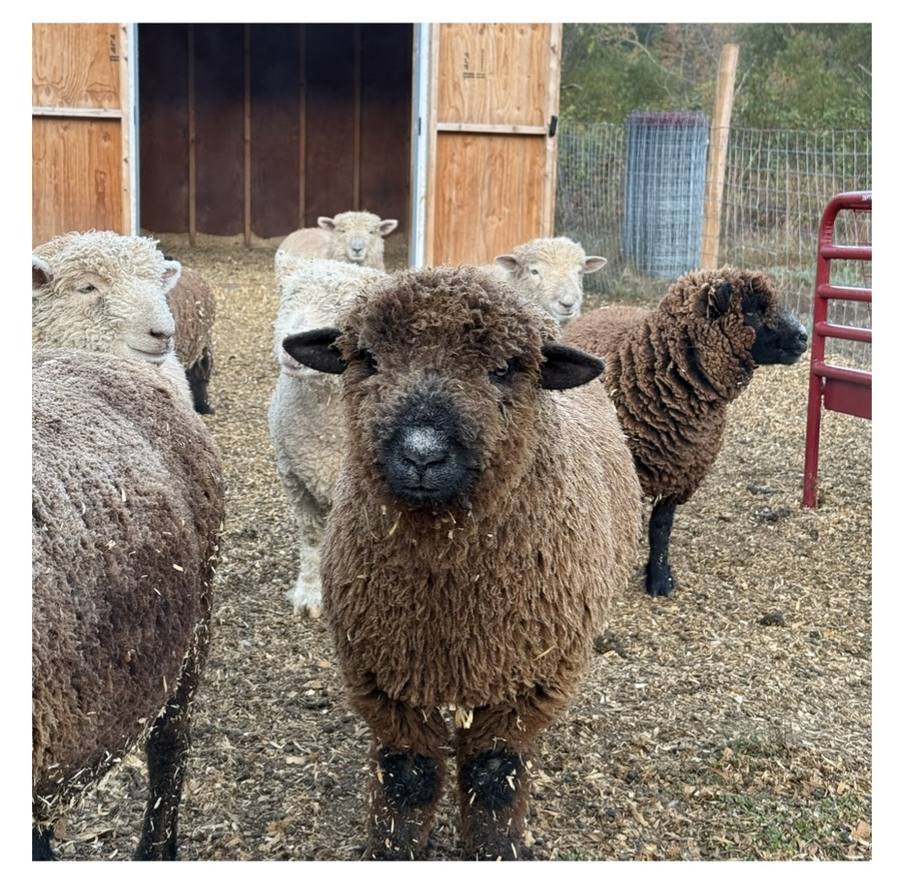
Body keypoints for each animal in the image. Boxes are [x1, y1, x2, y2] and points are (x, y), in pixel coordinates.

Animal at [268, 258, 386, 616]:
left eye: (341, 306)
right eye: (289, 295)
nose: (290, 341)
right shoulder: (295, 480)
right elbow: (311, 540)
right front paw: (310, 595)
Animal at [281, 266, 641, 860]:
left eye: (505, 369)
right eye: (368, 358)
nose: (422, 454)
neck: (447, 593)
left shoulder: (525, 682)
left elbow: (495, 777)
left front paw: (497, 849)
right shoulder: (385, 675)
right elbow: (407, 777)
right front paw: (392, 850)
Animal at [563, 266, 809, 598]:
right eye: (752, 310)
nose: (804, 336)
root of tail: (603, 309)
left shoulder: (681, 470)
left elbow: (660, 527)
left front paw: (659, 579)